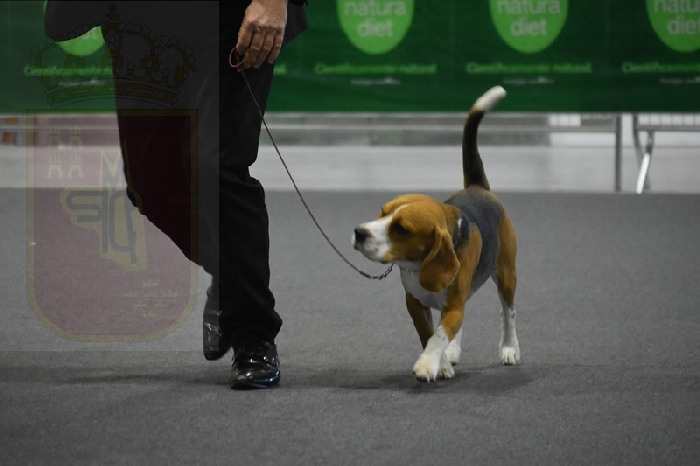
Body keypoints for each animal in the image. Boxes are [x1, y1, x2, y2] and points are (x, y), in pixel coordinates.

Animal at [351, 86, 520, 382]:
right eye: (382, 212)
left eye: (401, 228)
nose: (359, 233)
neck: (418, 265)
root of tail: (477, 187)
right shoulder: (414, 304)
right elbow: (429, 334)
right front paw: (441, 364)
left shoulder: (453, 307)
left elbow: (439, 335)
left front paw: (427, 365)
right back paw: (452, 353)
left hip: (506, 273)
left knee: (507, 313)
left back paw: (509, 348)